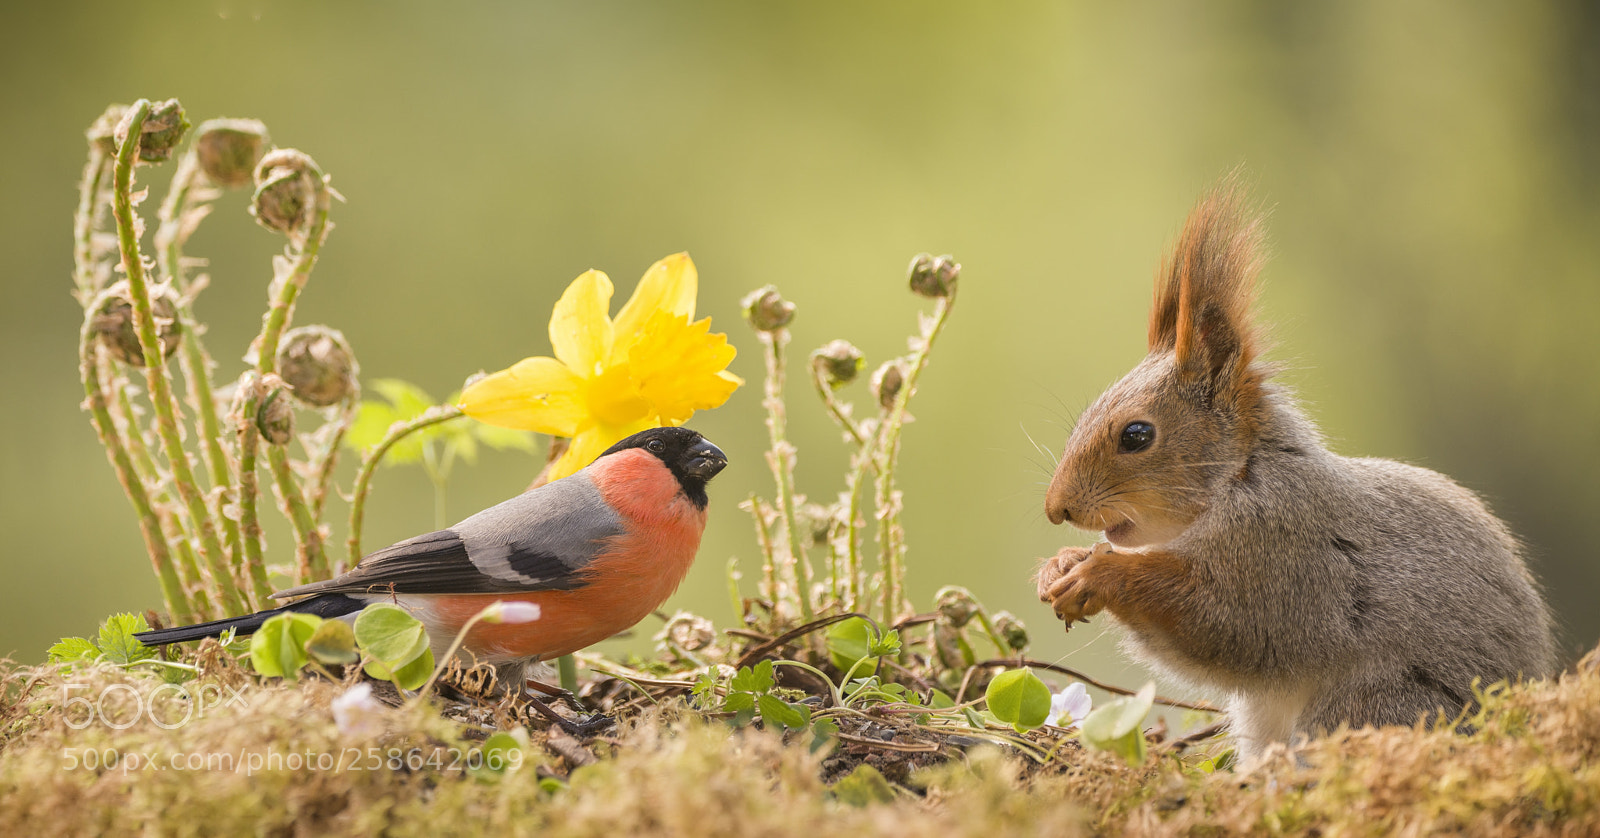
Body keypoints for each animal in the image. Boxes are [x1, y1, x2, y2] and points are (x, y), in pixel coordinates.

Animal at [1034, 177, 1555, 758]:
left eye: (1137, 436)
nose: (1056, 509)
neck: (1241, 478)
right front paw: (1059, 564)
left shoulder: (1287, 557)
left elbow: (1228, 624)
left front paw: (1100, 574)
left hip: (1370, 710)